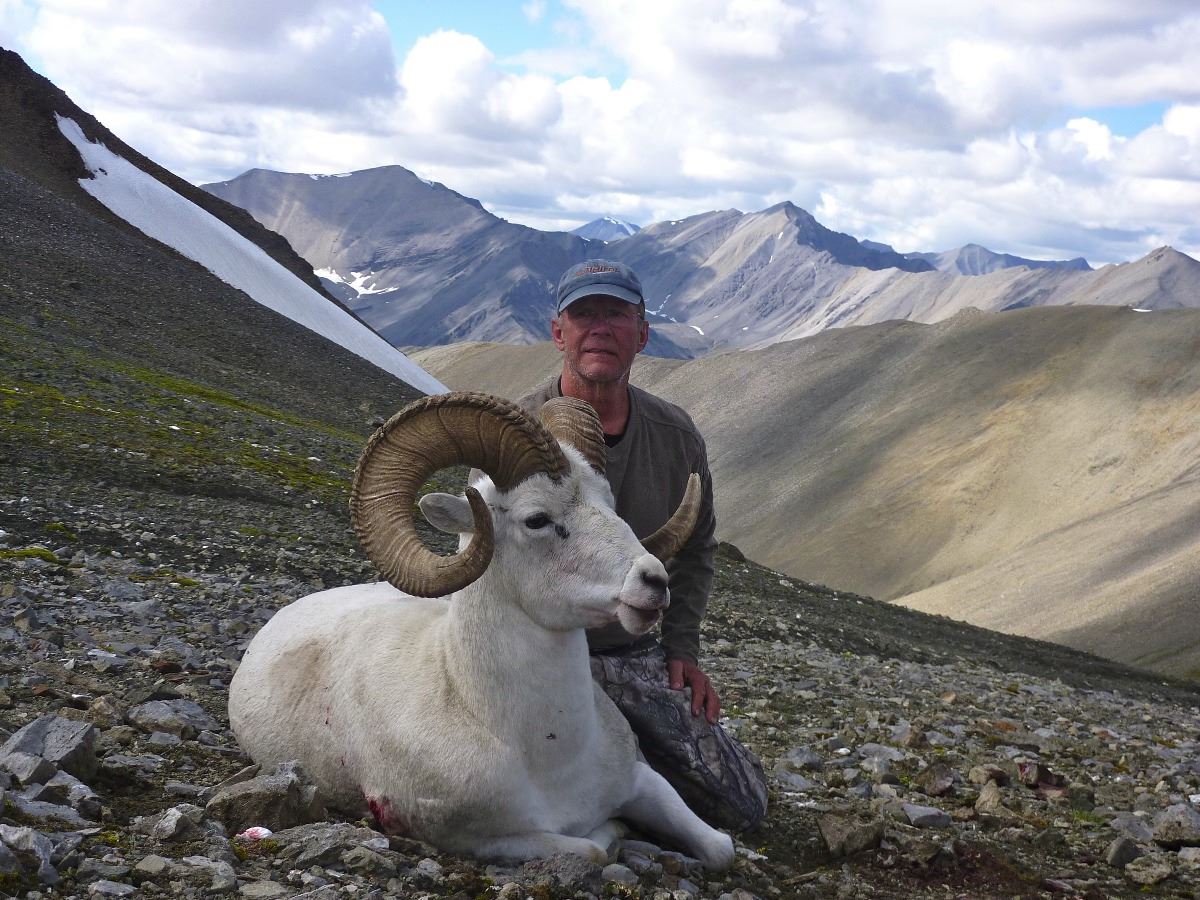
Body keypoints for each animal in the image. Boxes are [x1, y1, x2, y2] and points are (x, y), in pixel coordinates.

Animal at [228, 392, 735, 869]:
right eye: (537, 519)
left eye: (610, 505)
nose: (653, 582)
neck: (544, 751)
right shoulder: (479, 840)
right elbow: (594, 848)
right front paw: (613, 832)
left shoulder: (640, 780)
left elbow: (721, 848)